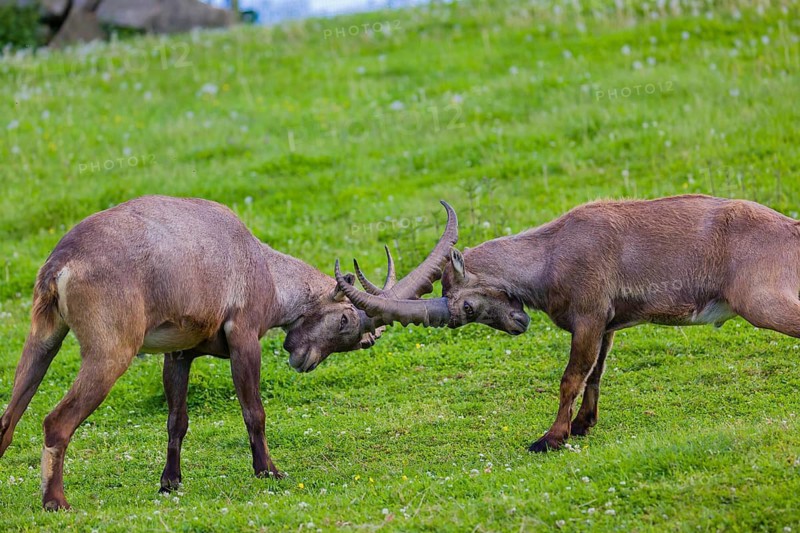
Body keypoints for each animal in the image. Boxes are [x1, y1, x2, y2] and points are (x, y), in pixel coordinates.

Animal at [0, 195, 457, 510]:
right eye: (346, 319)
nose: (302, 360)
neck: (263, 266)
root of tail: (61, 265)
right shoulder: (244, 336)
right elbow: (254, 411)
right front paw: (269, 471)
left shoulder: (179, 353)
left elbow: (177, 420)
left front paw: (170, 483)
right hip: (110, 351)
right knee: (56, 421)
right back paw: (56, 502)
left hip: (44, 336)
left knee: (9, 418)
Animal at [337, 195, 800, 452]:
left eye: (465, 309)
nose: (518, 324)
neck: (550, 253)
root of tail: (790, 230)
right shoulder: (608, 324)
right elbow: (595, 373)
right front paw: (582, 426)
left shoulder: (589, 315)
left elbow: (570, 378)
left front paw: (550, 439)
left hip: (763, 302)